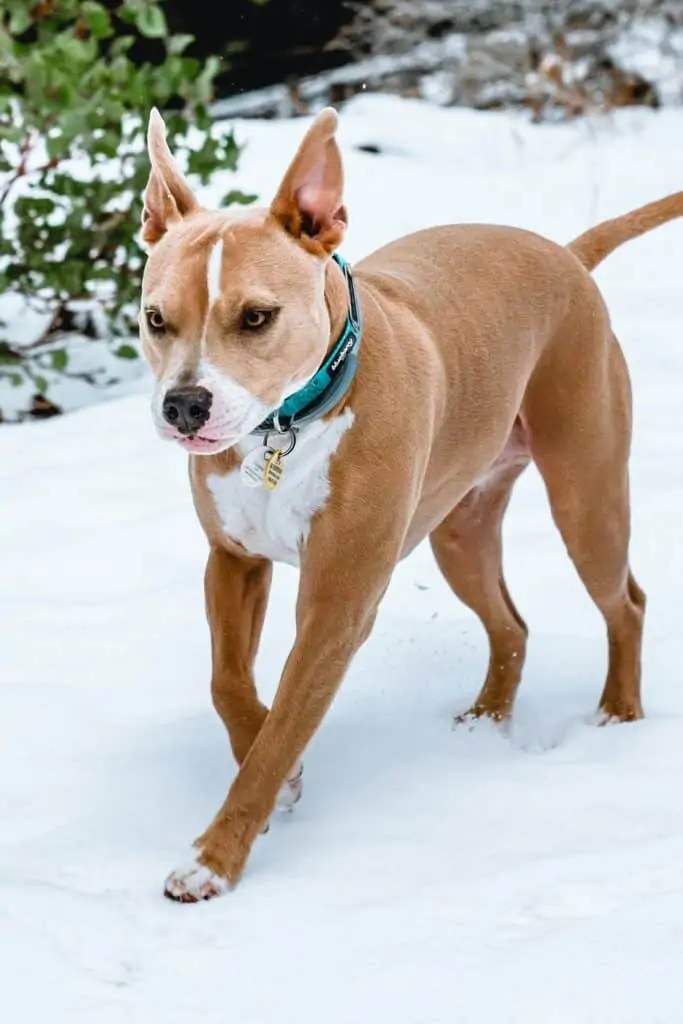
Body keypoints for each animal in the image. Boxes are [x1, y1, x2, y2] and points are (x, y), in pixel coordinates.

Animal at [139, 105, 683, 905]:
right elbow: (229, 684)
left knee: (626, 603)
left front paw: (215, 858)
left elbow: (281, 731)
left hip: (586, 497)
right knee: (509, 624)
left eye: (256, 317)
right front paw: (278, 776)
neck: (289, 426)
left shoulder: (337, 607)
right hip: (458, 529)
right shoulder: (231, 562)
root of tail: (564, 254)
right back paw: (487, 720)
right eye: (155, 319)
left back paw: (618, 713)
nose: (183, 405)